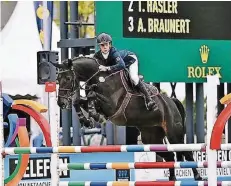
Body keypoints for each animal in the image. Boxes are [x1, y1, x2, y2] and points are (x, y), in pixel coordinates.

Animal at [52, 56, 202, 180]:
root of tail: (172, 101)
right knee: (170, 156)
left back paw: (198, 177)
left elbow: (91, 97)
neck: (99, 78)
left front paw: (94, 115)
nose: (61, 103)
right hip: (151, 137)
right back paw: (172, 179)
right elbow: (78, 101)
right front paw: (86, 120)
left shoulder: (111, 105)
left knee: (186, 153)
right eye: (58, 80)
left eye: (68, 79)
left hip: (173, 134)